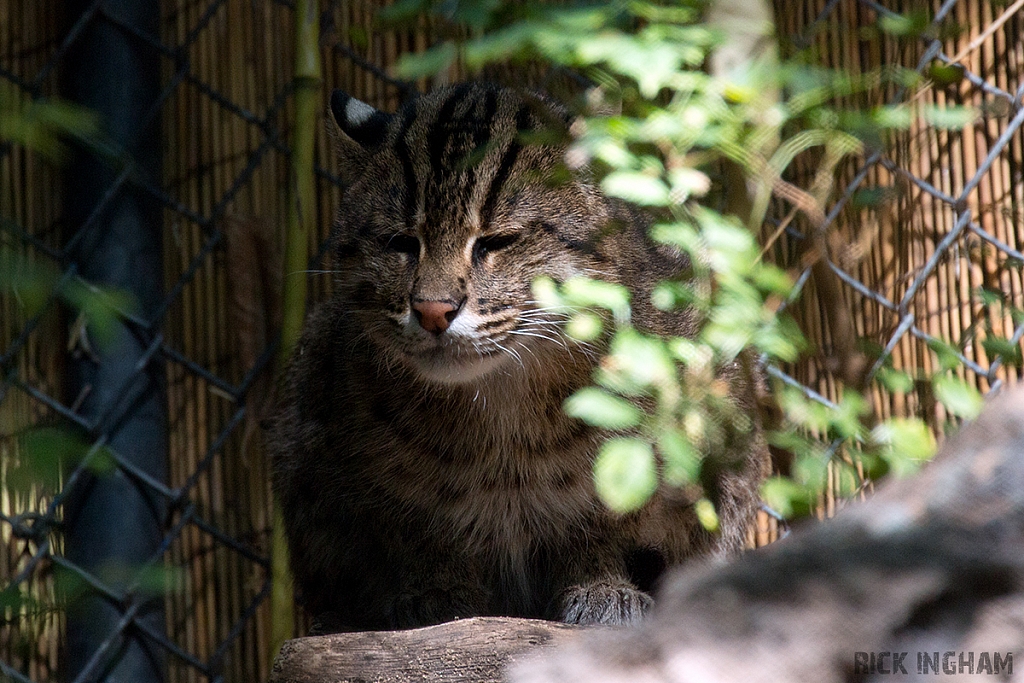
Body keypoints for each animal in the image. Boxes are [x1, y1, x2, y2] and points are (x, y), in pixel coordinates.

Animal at [268, 82, 770, 634]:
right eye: (401, 242)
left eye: (497, 242)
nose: (432, 311)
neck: (500, 404)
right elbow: (416, 536)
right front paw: (435, 595)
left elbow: (606, 520)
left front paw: (602, 587)